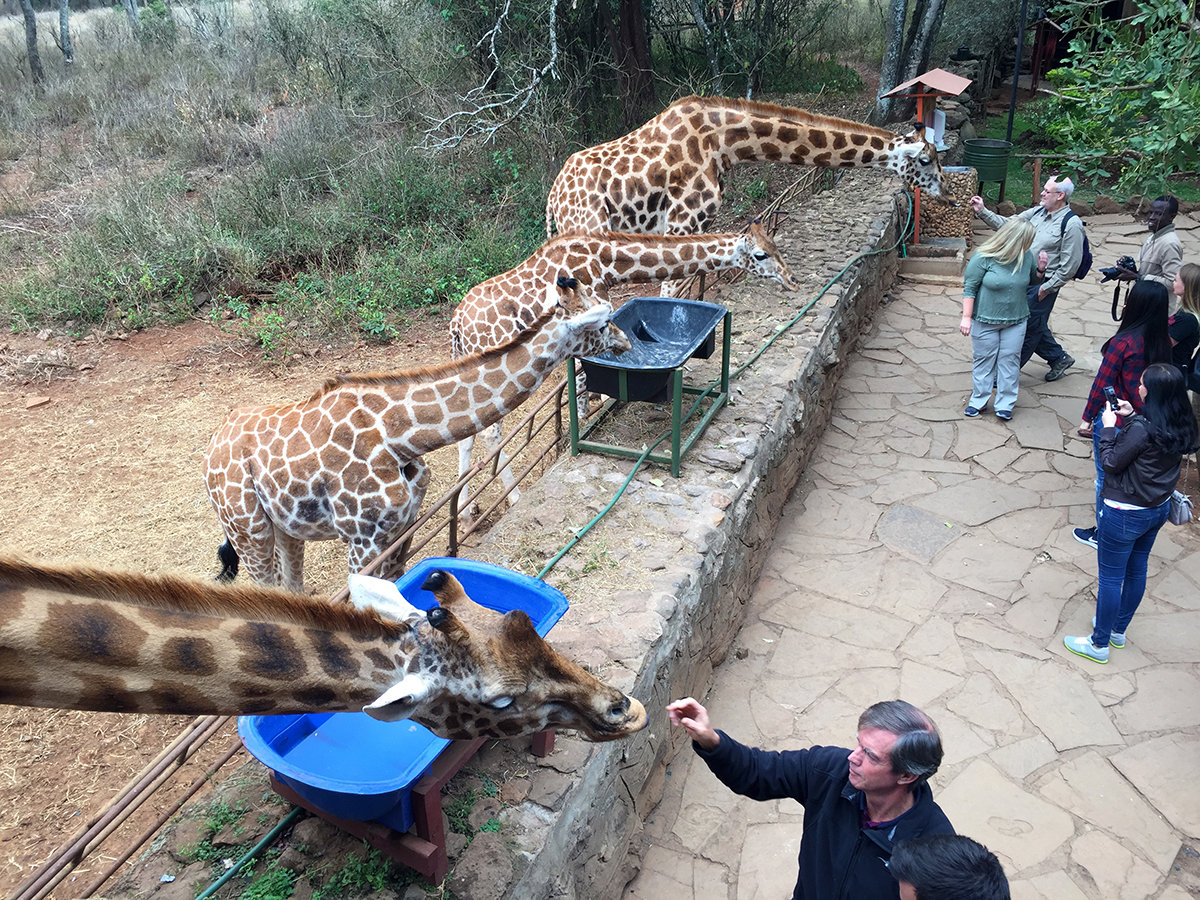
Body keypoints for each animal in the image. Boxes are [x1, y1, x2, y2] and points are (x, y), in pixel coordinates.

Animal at [204, 297, 630, 592]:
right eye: (603, 321)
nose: (626, 340)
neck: (400, 436)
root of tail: (213, 445)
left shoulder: (403, 526)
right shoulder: (362, 539)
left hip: (286, 528)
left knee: (291, 587)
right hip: (247, 529)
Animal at [449, 222, 798, 516]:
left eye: (777, 245)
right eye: (761, 254)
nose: (791, 280)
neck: (607, 263)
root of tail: (457, 326)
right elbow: (587, 381)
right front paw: (586, 427)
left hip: (469, 368)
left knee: (467, 434)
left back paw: (466, 511)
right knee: (491, 434)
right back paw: (515, 496)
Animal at [545, 95, 948, 239]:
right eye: (926, 160)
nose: (947, 195)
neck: (722, 143)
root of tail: (551, 199)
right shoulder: (683, 220)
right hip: (589, 229)